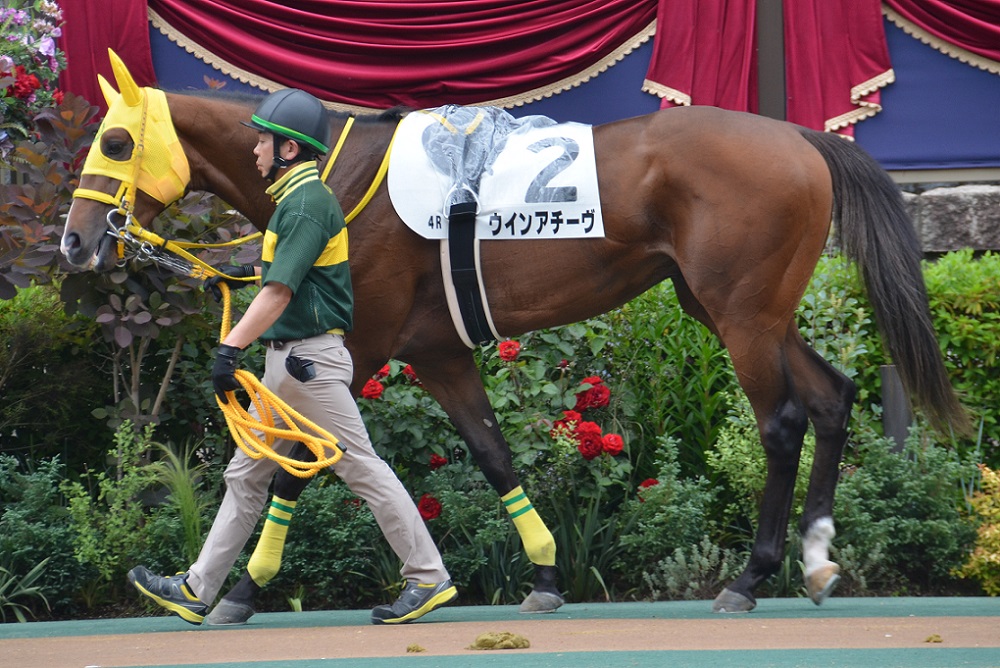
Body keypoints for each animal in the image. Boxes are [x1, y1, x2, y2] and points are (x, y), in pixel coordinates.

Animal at [58, 57, 964, 616]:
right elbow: (492, 454)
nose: (74, 241)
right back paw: (816, 559)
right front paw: (544, 573)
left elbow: (296, 465)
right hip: (740, 310)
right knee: (832, 399)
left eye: (115, 140)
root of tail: (799, 135)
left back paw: (750, 577)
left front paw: (243, 590)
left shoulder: (361, 344)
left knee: (782, 423)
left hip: (740, 313)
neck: (338, 176)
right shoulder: (436, 350)